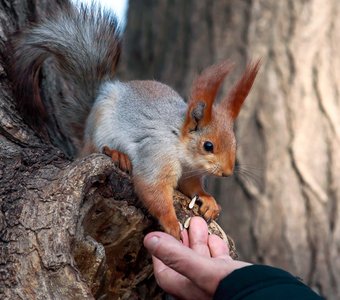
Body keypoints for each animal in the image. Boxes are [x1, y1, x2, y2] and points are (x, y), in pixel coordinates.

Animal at [8, 2, 260, 239]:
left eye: (235, 143)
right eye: (208, 145)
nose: (227, 172)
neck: (179, 142)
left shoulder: (190, 172)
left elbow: (191, 186)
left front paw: (208, 200)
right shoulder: (157, 153)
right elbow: (151, 187)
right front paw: (171, 224)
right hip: (99, 130)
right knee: (93, 149)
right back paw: (116, 154)